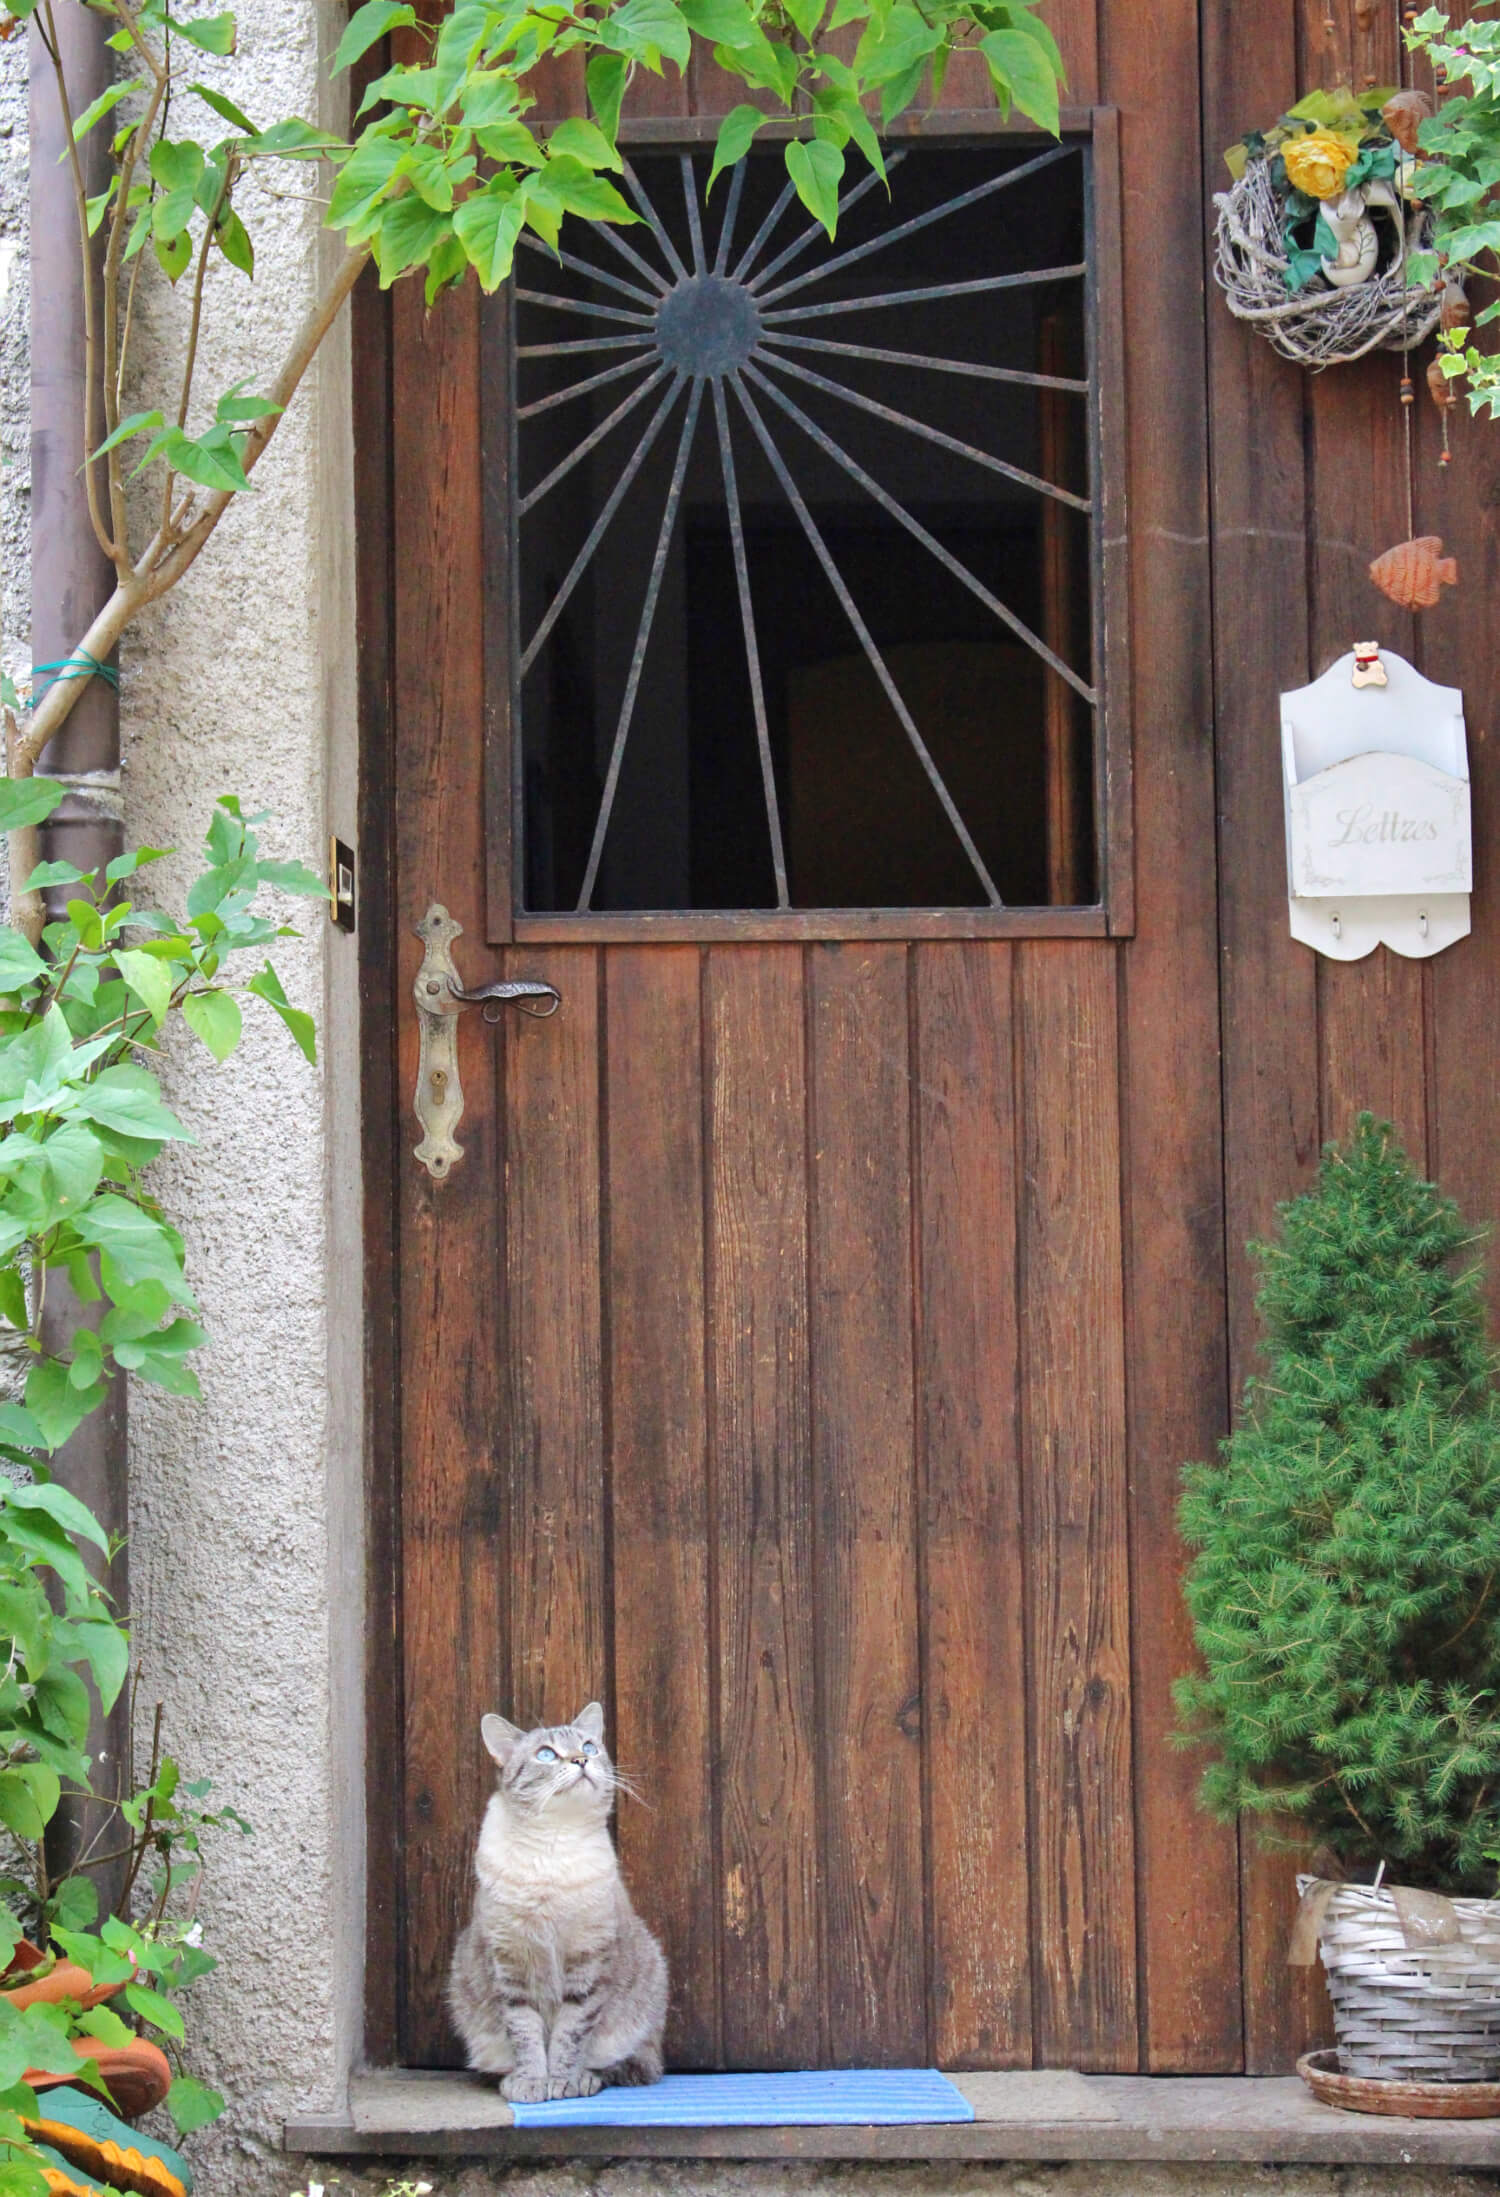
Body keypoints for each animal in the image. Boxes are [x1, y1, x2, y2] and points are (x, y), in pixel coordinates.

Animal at [445, 1696, 667, 2091]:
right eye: (546, 1755)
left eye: (589, 1747)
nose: (580, 1760)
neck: (554, 1841)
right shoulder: (510, 1959)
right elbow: (525, 2031)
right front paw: (532, 2083)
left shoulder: (589, 1957)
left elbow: (570, 2031)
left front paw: (562, 2082)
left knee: (630, 2064)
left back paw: (587, 2079)